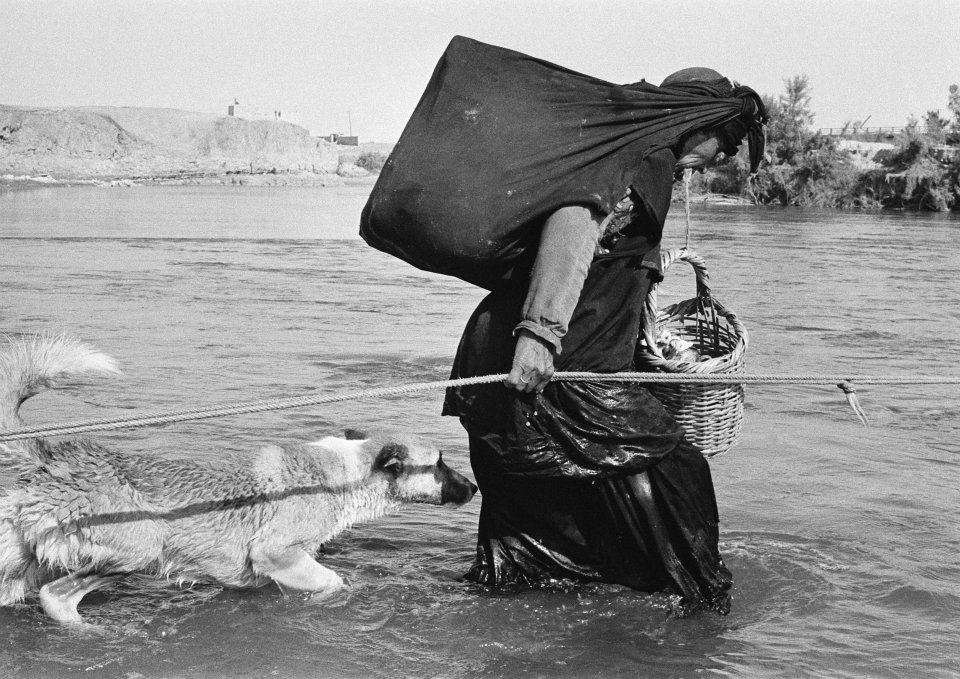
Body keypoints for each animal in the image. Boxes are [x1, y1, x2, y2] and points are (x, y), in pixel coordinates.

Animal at [0, 338, 478, 624]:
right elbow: (333, 583)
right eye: (439, 463)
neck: (344, 474)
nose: (474, 488)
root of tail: (50, 460)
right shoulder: (276, 554)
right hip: (141, 546)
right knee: (56, 596)